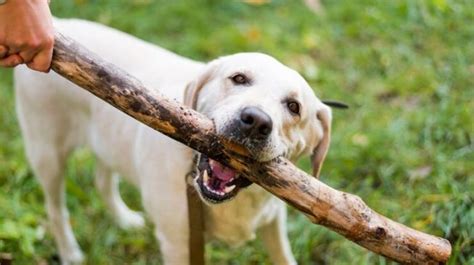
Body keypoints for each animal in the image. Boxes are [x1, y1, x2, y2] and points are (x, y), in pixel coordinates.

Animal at [14, 17, 334, 262]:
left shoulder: (274, 223)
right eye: (239, 78)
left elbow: (284, 257)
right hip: (47, 153)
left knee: (103, 179)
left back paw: (123, 219)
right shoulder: (178, 242)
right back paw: (70, 253)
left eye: (293, 107)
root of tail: (58, 24)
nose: (255, 121)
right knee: (55, 209)